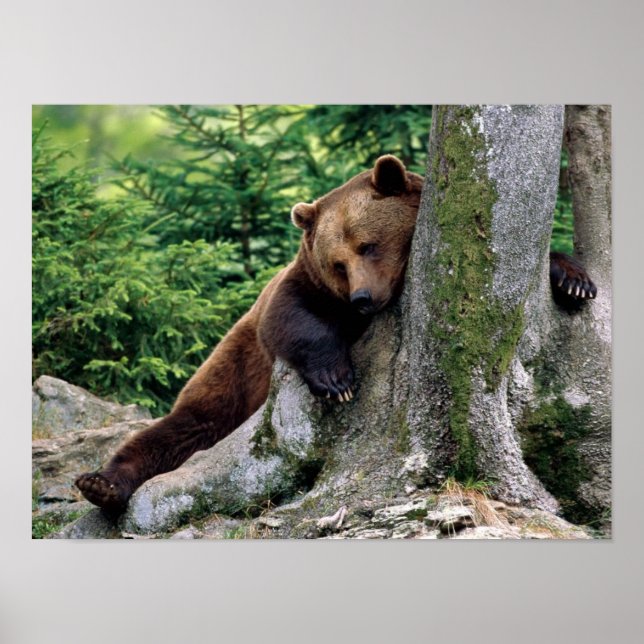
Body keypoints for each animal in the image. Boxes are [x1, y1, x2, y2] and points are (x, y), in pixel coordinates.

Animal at [75, 154, 596, 513]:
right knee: (181, 429)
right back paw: (101, 483)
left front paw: (574, 280)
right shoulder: (302, 288)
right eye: (337, 263)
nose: (363, 298)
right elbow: (291, 317)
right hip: (230, 376)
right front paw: (337, 380)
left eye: (369, 244)